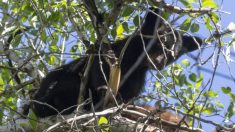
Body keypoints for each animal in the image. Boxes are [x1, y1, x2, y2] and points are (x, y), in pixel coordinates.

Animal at [29, 8, 202, 117]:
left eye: (174, 55)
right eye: (162, 43)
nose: (161, 62)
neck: (138, 61)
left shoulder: (137, 76)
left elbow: (129, 96)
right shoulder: (117, 52)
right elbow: (98, 65)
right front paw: (104, 89)